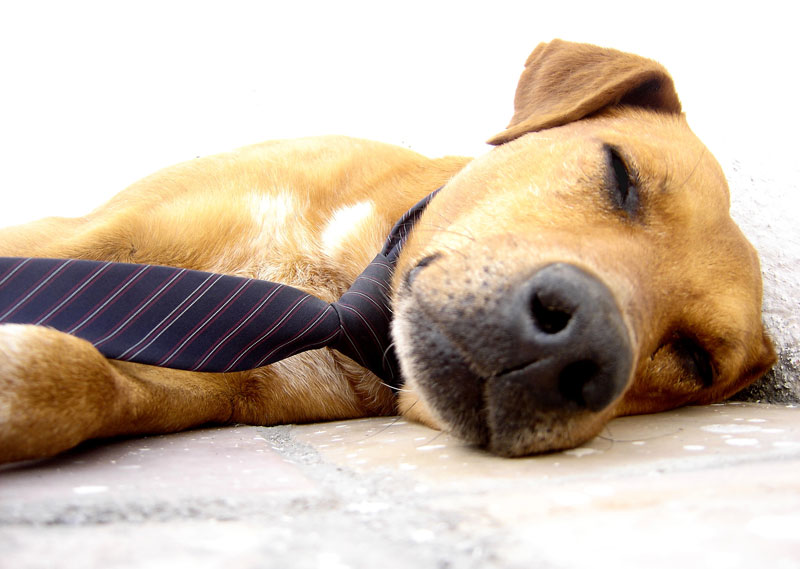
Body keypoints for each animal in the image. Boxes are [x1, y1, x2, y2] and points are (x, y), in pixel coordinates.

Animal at [0, 40, 776, 462]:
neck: (341, 283)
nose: (575, 343)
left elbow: (89, 382)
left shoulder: (220, 381)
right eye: (620, 173)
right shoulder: (85, 232)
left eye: (694, 361)